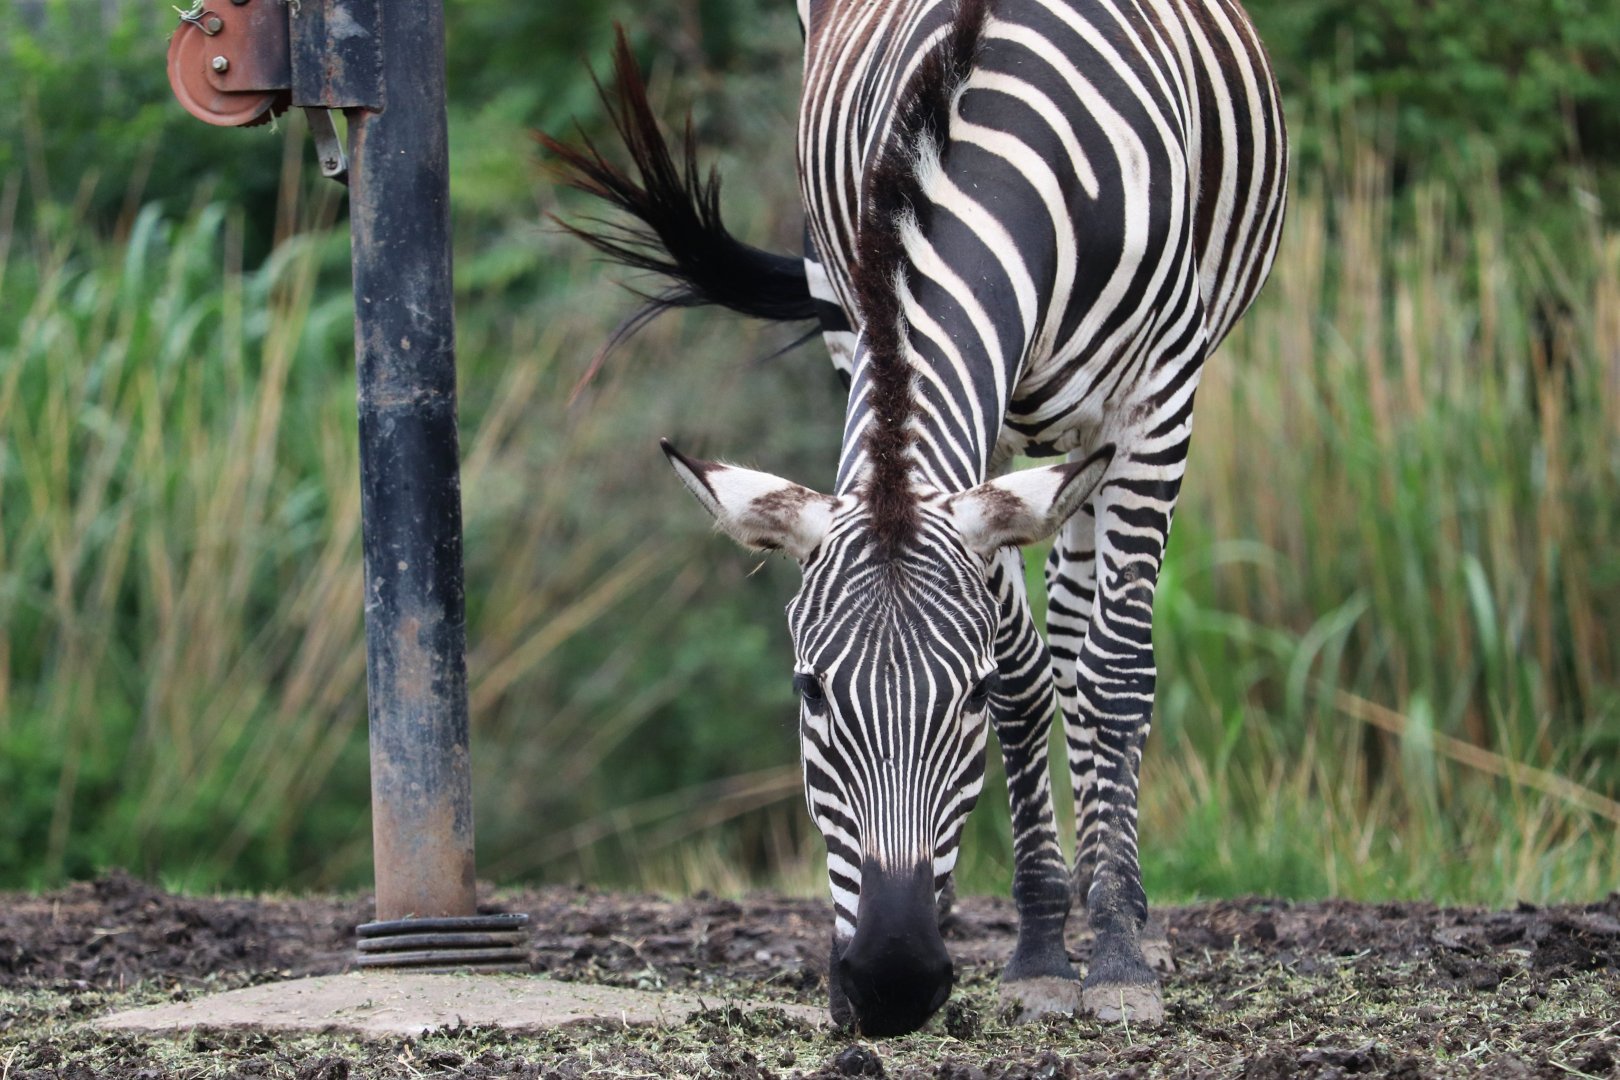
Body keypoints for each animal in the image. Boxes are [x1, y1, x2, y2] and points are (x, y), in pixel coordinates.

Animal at [546, 0, 1286, 1035]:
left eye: (963, 698)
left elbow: (1110, 676)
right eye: (809, 693)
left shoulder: (1157, 394)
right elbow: (1030, 681)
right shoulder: (924, 371)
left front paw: (1116, 957)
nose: (891, 980)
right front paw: (1040, 947)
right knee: (1062, 632)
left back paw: (1126, 912)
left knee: (1090, 641)